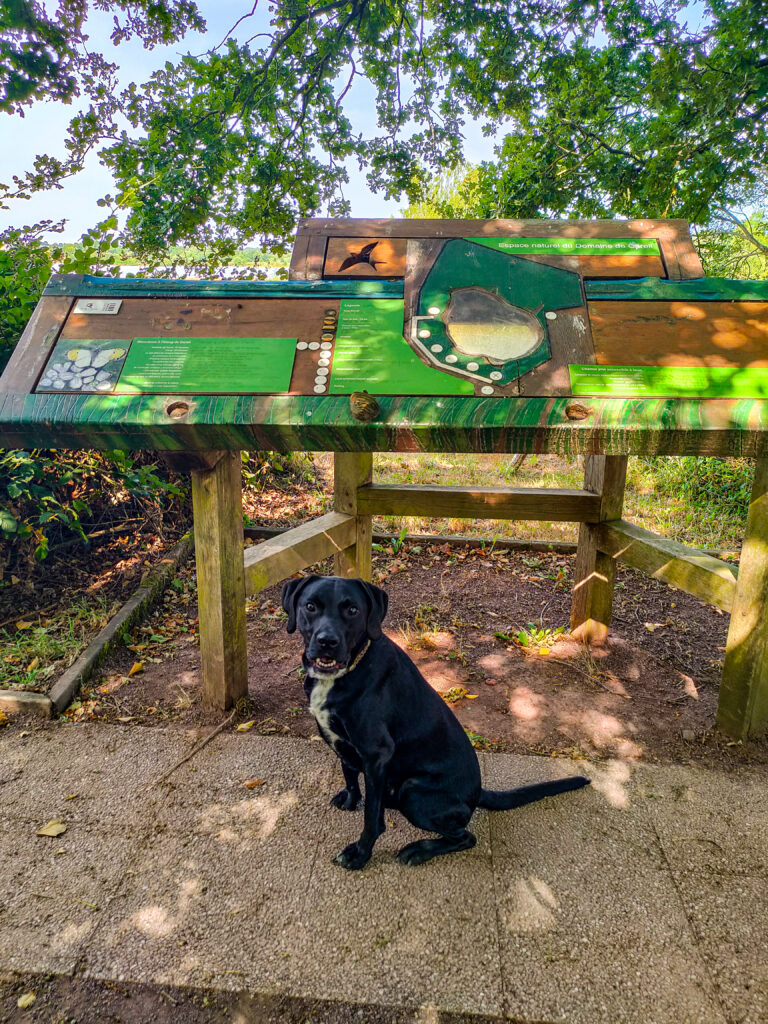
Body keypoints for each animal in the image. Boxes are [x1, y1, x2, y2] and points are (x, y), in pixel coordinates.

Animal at [282, 573, 589, 868]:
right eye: (310, 606)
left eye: (352, 610)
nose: (327, 641)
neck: (343, 674)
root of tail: (477, 793)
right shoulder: (342, 742)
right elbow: (348, 772)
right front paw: (350, 799)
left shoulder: (376, 753)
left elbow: (371, 817)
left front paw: (360, 854)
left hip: (413, 792)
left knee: (466, 837)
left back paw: (419, 851)